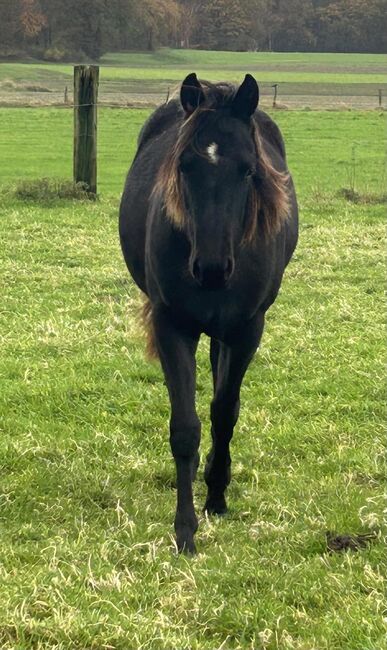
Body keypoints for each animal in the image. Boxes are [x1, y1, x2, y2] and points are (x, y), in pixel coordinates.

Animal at [119, 74, 298, 552]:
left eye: (248, 170)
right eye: (185, 166)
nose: (213, 268)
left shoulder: (246, 329)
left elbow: (224, 413)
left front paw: (216, 494)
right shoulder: (172, 326)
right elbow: (185, 427)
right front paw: (184, 529)